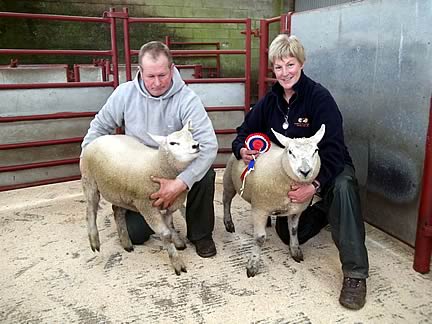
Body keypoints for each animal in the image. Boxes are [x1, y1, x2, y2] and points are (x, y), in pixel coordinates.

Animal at [80, 120, 199, 274]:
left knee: (117, 212)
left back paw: (126, 242)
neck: (157, 165)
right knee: (91, 210)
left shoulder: (169, 205)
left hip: (121, 192)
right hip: (89, 181)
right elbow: (165, 233)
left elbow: (170, 226)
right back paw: (94, 241)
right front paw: (177, 262)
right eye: (173, 143)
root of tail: (99, 138)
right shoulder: (147, 206)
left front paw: (177, 242)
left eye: (191, 136)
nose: (196, 145)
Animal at [223, 125, 324, 278]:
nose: (305, 171)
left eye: (316, 151)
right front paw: (253, 265)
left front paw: (295, 250)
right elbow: (259, 238)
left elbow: (293, 230)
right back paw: (228, 223)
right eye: (290, 152)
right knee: (226, 201)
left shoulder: (296, 210)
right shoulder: (259, 209)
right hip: (229, 180)